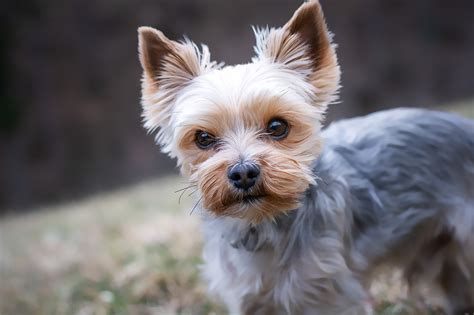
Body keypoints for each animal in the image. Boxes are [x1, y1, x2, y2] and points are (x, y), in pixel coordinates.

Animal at [136, 1, 474, 314]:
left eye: (277, 126)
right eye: (203, 138)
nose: (243, 172)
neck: (262, 224)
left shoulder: (329, 295)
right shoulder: (247, 298)